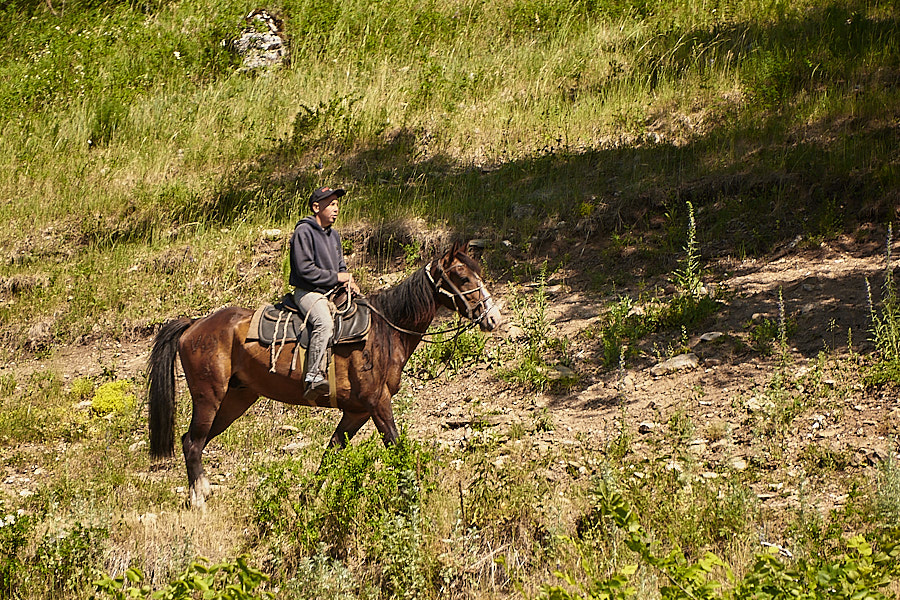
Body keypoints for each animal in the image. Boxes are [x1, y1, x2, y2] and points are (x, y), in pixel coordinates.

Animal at [144, 241, 502, 508]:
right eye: (462, 277)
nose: (493, 317)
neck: (386, 330)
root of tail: (194, 325)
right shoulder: (378, 404)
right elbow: (396, 447)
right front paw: (412, 496)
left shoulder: (356, 412)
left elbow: (330, 454)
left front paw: (308, 499)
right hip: (209, 397)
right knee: (193, 443)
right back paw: (198, 500)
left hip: (236, 400)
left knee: (194, 440)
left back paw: (202, 491)